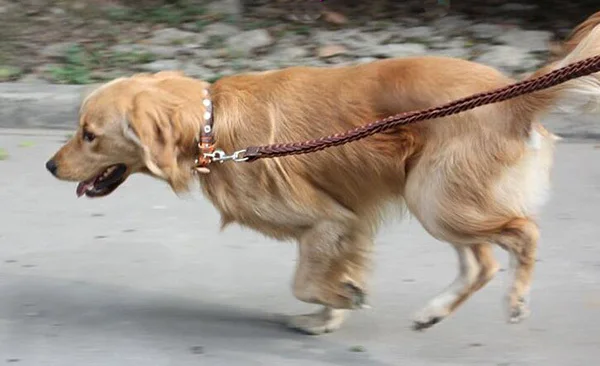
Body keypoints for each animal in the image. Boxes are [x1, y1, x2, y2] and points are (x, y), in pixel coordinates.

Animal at [45, 20, 600, 334]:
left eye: (88, 135)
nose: (50, 166)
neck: (209, 126)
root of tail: (515, 96)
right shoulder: (341, 227)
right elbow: (324, 277)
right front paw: (328, 317)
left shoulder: (330, 220)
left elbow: (305, 282)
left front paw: (339, 301)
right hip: (436, 199)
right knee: (480, 262)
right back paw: (435, 311)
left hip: (437, 200)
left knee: (523, 233)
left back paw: (516, 300)